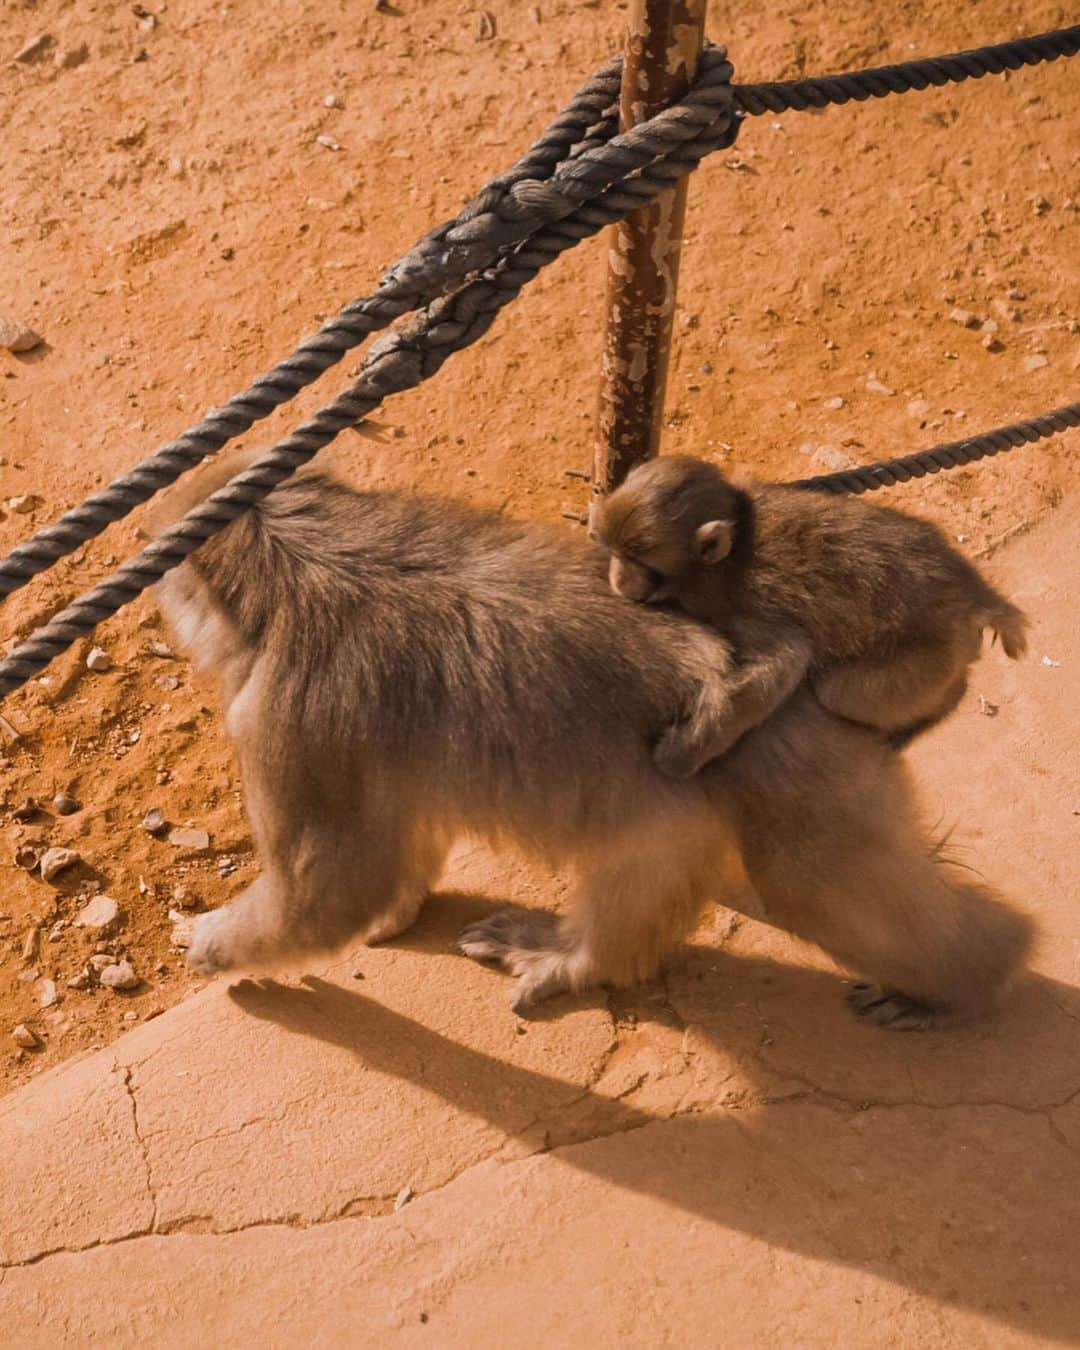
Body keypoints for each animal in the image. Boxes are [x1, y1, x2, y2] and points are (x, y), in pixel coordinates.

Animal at [594, 456, 1026, 777]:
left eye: (641, 562)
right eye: (614, 551)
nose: (617, 578)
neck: (722, 558)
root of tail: (971, 593)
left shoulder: (739, 606)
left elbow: (784, 662)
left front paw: (680, 755)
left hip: (930, 654)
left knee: (838, 691)